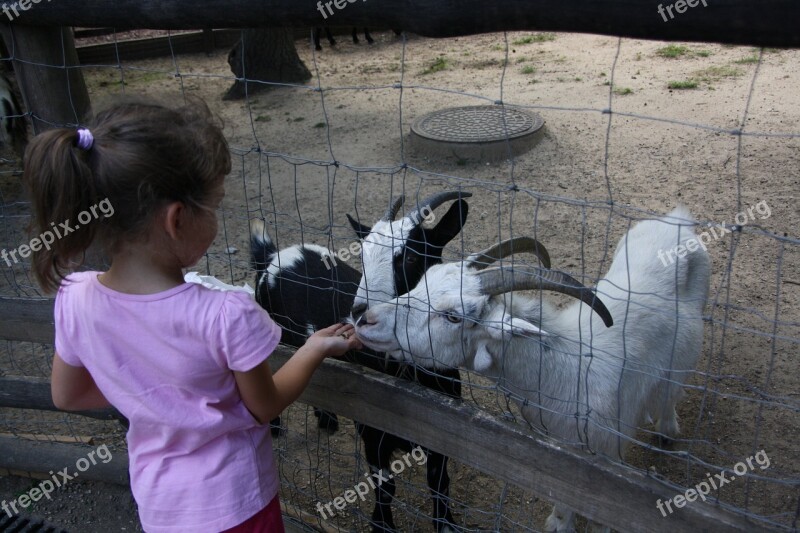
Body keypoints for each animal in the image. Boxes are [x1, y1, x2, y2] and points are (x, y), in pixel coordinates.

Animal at [252, 192, 468, 532]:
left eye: (410, 258)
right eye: (362, 258)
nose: (359, 313)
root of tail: (273, 256)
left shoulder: (444, 431)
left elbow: (439, 482)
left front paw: (446, 524)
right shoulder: (372, 426)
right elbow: (385, 485)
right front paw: (382, 525)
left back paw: (327, 419)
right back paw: (274, 427)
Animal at [356, 208, 712, 532]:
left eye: (453, 316)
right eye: (422, 281)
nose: (365, 320)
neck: (568, 369)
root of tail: (677, 219)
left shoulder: (608, 456)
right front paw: (559, 523)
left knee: (670, 390)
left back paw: (666, 429)